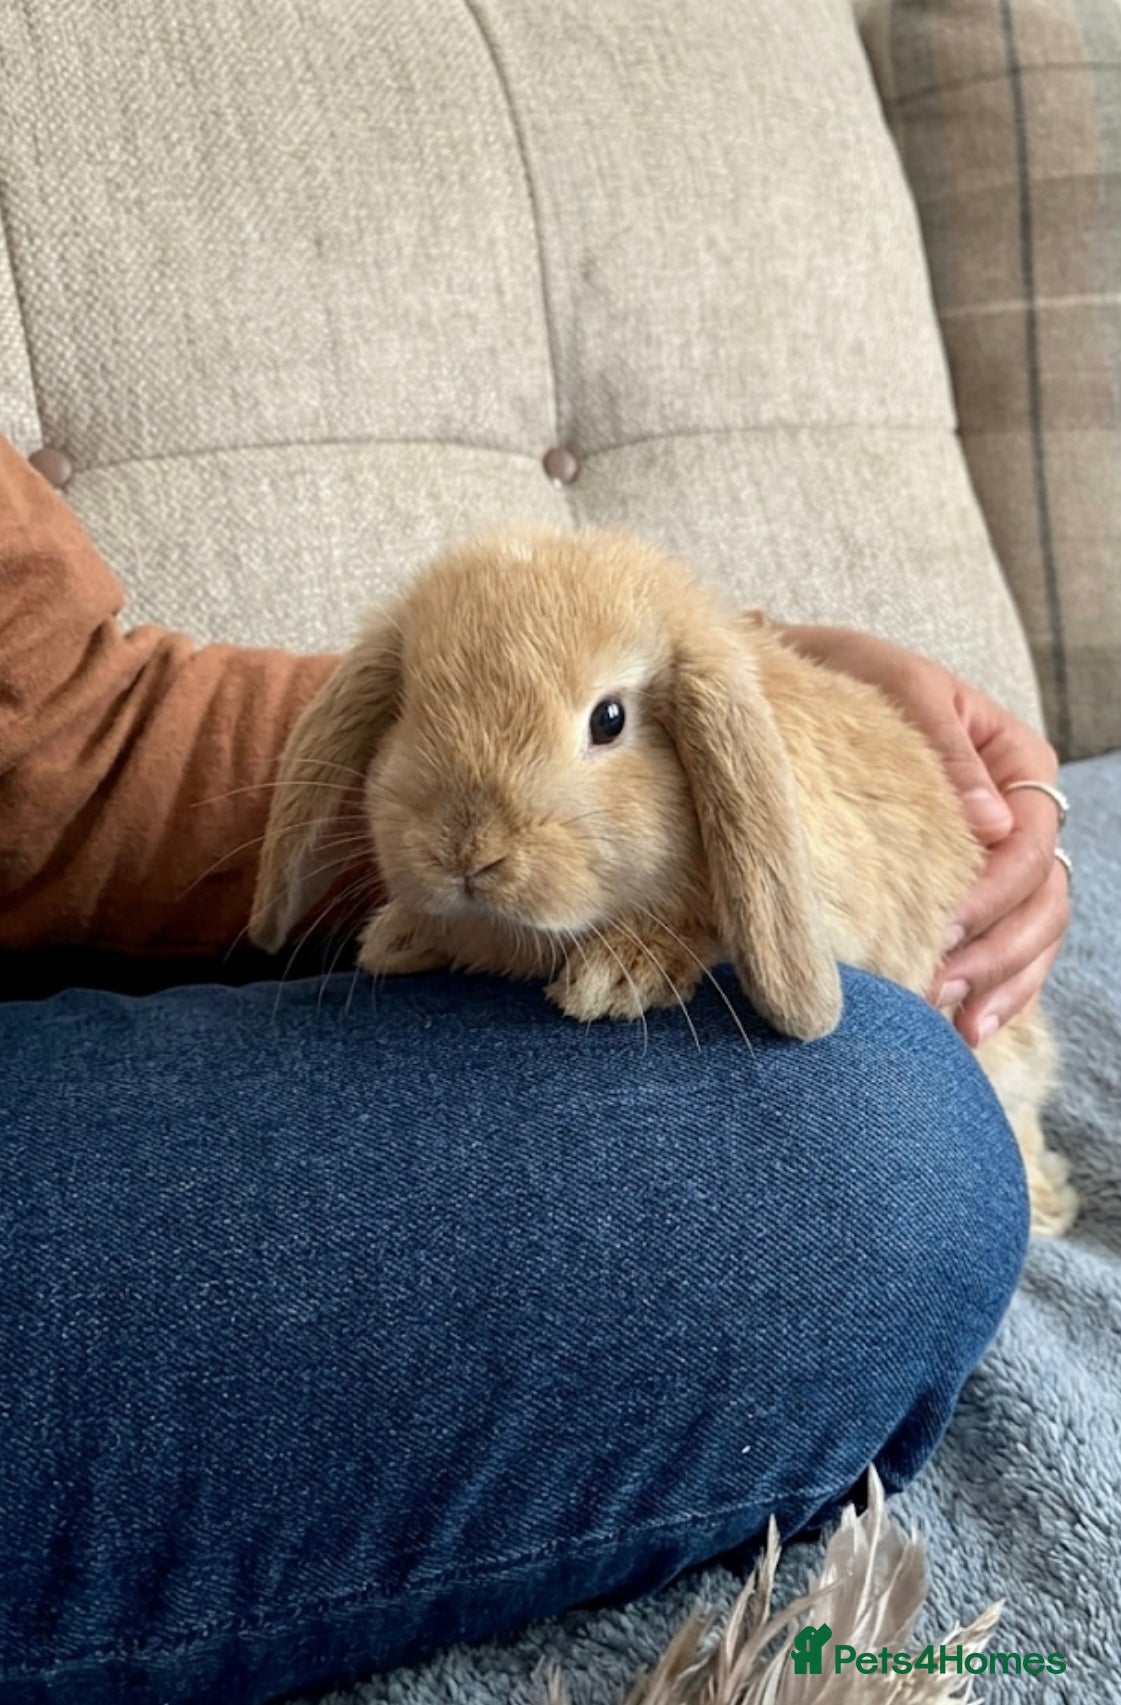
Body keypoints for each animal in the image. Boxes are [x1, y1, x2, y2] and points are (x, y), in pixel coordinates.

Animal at [250, 527, 1075, 1237]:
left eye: (608, 719)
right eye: (410, 707)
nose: (467, 853)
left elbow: (701, 922)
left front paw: (615, 978)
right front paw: (401, 934)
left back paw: (1047, 1204)